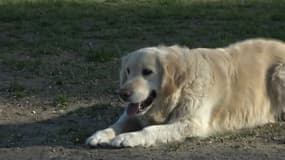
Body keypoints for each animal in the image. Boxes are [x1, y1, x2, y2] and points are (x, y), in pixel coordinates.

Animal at [85, 38, 284, 148]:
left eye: (147, 72)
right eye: (127, 71)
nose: (122, 94)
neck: (180, 90)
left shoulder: (192, 123)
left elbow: (151, 129)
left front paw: (128, 137)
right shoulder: (133, 113)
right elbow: (116, 124)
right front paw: (100, 134)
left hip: (278, 73)